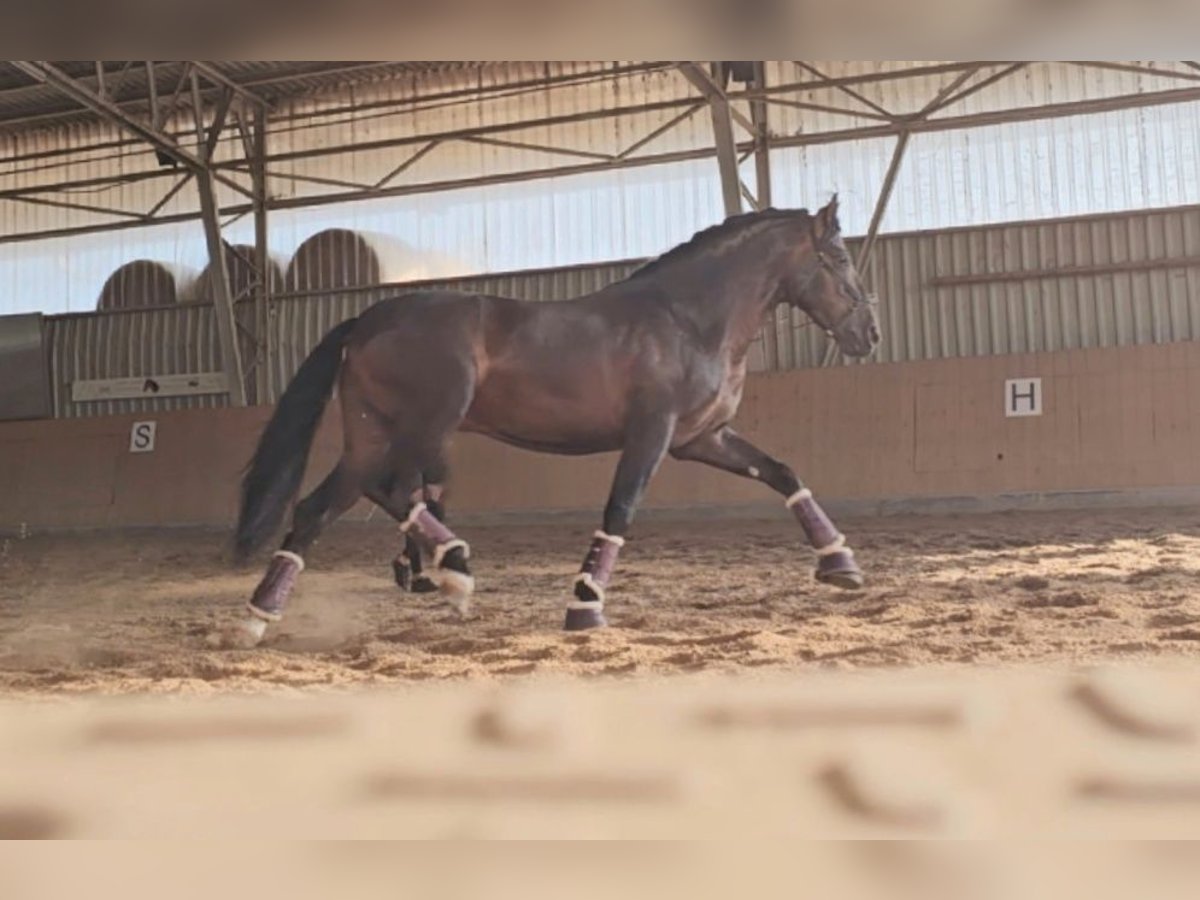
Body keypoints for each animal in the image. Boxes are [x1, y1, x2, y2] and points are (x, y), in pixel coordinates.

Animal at [229, 196, 878, 648]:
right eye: (841, 258)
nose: (868, 336)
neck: (688, 319)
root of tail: (366, 318)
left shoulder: (702, 438)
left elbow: (784, 473)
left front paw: (841, 565)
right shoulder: (653, 434)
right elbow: (620, 511)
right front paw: (585, 606)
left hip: (372, 433)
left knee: (321, 507)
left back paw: (261, 617)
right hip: (427, 422)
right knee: (389, 490)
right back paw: (453, 570)